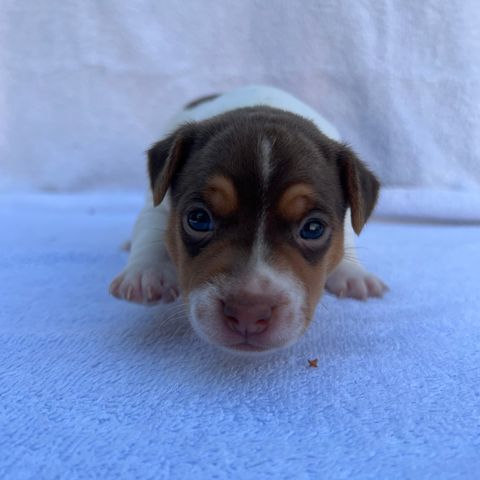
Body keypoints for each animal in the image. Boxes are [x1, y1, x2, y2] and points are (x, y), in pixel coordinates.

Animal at [110, 84, 388, 352]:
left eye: (313, 229)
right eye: (198, 219)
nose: (248, 313)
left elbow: (347, 239)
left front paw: (353, 273)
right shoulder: (158, 205)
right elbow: (150, 231)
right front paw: (147, 274)